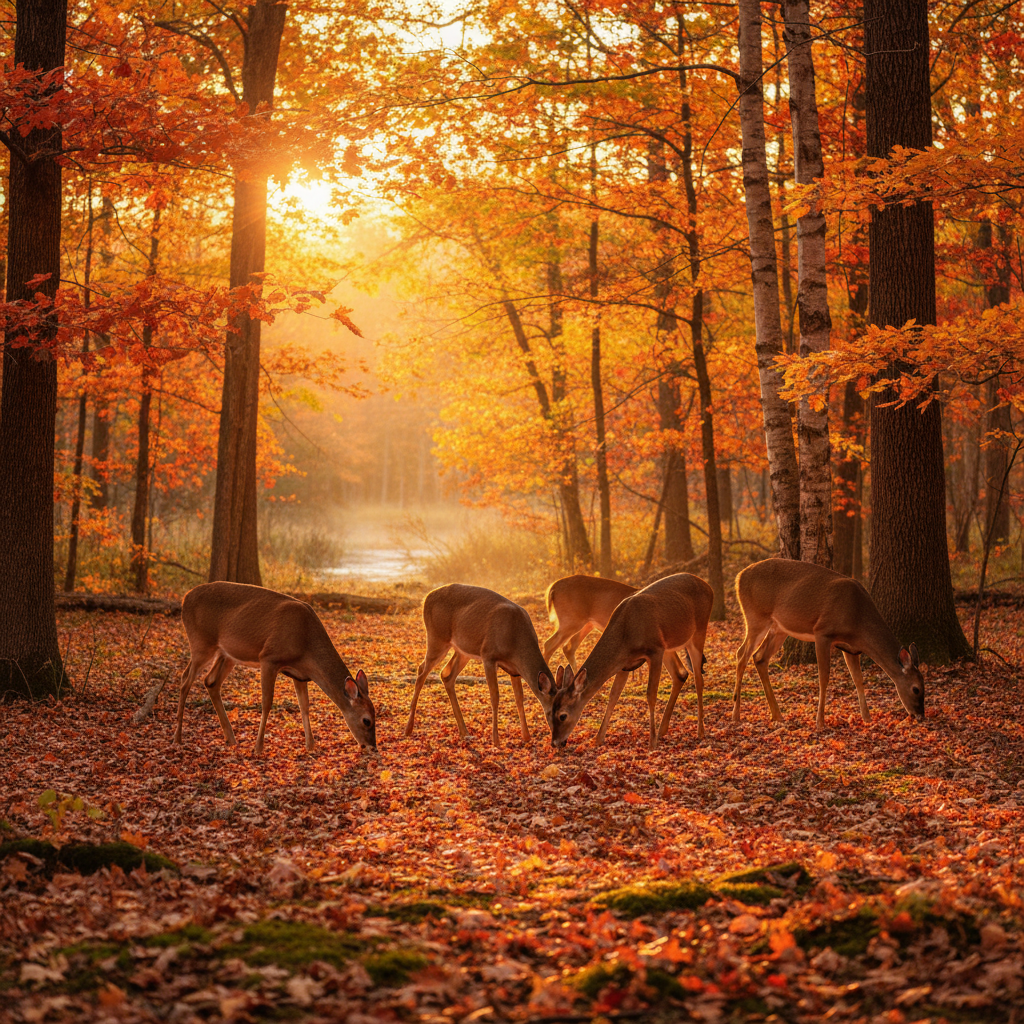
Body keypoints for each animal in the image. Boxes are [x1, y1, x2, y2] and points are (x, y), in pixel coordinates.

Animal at [173, 582, 377, 756]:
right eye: (366, 720)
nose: (373, 747)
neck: (306, 643)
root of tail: (185, 598)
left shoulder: (299, 674)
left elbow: (304, 706)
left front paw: (311, 745)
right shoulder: (269, 658)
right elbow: (267, 703)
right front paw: (258, 747)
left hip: (227, 654)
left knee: (210, 681)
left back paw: (231, 738)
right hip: (200, 643)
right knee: (184, 680)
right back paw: (178, 738)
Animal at [404, 583, 555, 745]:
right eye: (557, 713)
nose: (560, 741)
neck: (515, 640)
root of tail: (426, 598)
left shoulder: (514, 670)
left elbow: (519, 698)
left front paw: (526, 736)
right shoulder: (488, 655)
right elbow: (495, 696)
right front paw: (496, 740)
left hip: (462, 651)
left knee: (446, 674)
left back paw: (465, 732)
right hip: (437, 638)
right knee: (421, 670)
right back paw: (408, 729)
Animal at [541, 573, 714, 750]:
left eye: (562, 715)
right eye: (549, 712)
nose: (555, 743)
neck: (627, 633)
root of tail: (707, 585)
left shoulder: (655, 651)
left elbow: (650, 694)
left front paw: (651, 743)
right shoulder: (625, 664)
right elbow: (613, 696)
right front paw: (598, 739)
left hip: (698, 632)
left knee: (698, 679)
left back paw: (700, 731)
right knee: (681, 675)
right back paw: (663, 730)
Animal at [733, 558, 925, 730]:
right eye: (916, 689)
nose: (920, 716)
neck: (858, 620)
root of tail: (739, 577)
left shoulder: (851, 648)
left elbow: (858, 679)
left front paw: (867, 718)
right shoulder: (822, 632)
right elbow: (824, 678)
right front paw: (820, 722)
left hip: (779, 629)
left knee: (759, 657)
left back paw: (777, 715)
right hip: (756, 616)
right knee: (741, 654)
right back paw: (736, 714)